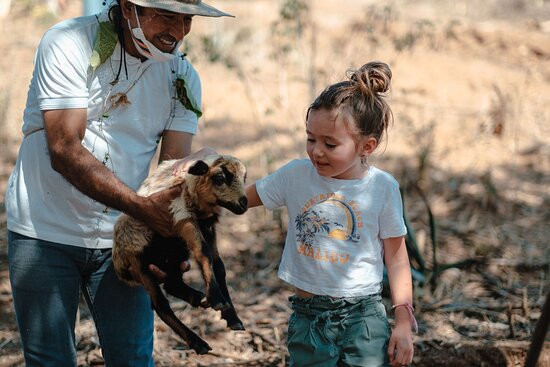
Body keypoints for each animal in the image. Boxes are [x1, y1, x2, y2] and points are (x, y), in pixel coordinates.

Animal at [112, 155, 248, 354]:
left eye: (244, 178)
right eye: (220, 178)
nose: (244, 203)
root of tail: (119, 269)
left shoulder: (208, 227)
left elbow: (218, 266)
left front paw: (232, 317)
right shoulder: (181, 214)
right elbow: (204, 254)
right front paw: (217, 299)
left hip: (173, 253)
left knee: (172, 284)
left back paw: (198, 298)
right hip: (140, 263)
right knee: (160, 305)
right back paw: (198, 342)